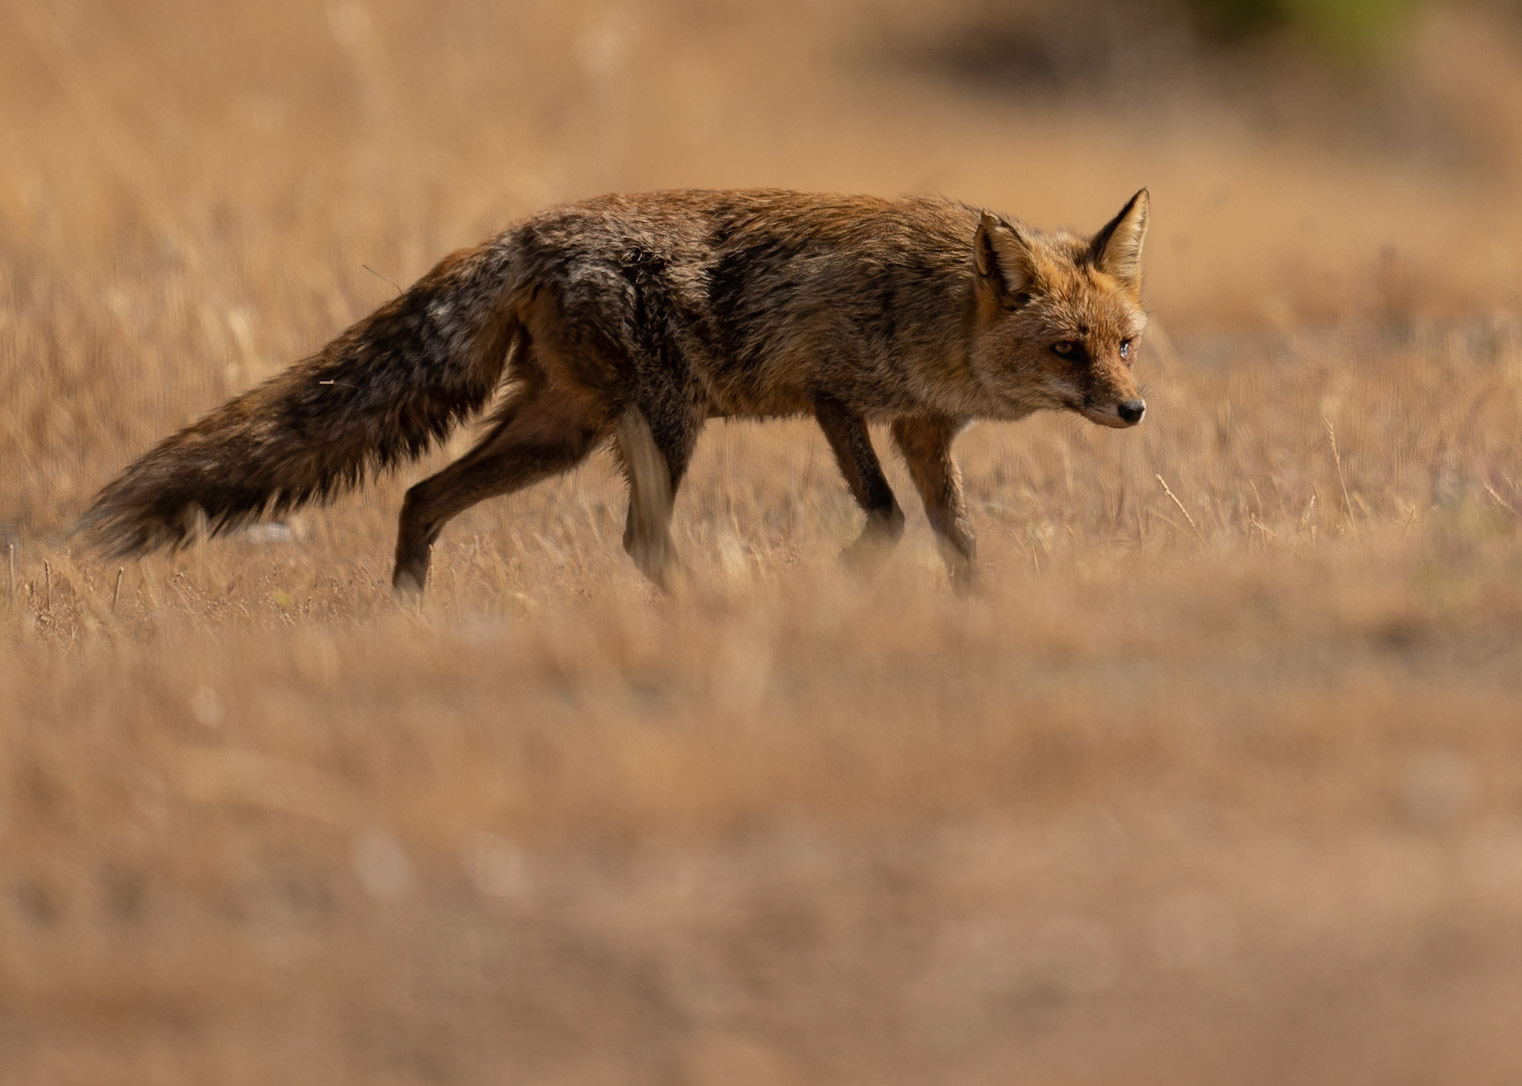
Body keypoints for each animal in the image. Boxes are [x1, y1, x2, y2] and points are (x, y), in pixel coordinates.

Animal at [79, 188, 1151, 596]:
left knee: (420, 495)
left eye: (1126, 347)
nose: (1136, 411)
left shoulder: (926, 432)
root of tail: (523, 230)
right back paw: (702, 612)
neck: (936, 310)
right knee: (640, 542)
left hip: (561, 434)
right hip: (661, 428)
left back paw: (407, 613)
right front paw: (846, 582)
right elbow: (887, 520)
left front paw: (977, 611)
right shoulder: (835, 398)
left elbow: (959, 537)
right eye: (1068, 351)